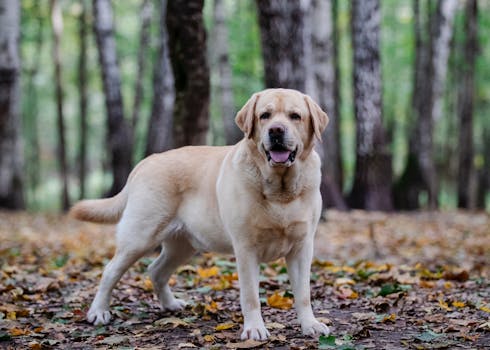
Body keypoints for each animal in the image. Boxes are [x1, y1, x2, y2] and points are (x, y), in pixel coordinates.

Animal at [70, 89, 330, 340]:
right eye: (264, 116)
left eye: (295, 116)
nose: (276, 130)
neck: (280, 191)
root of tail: (146, 161)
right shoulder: (246, 248)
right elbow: (250, 296)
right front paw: (254, 329)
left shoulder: (302, 247)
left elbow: (303, 294)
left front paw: (310, 325)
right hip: (139, 237)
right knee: (110, 271)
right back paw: (98, 312)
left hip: (182, 245)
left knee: (156, 270)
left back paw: (170, 304)